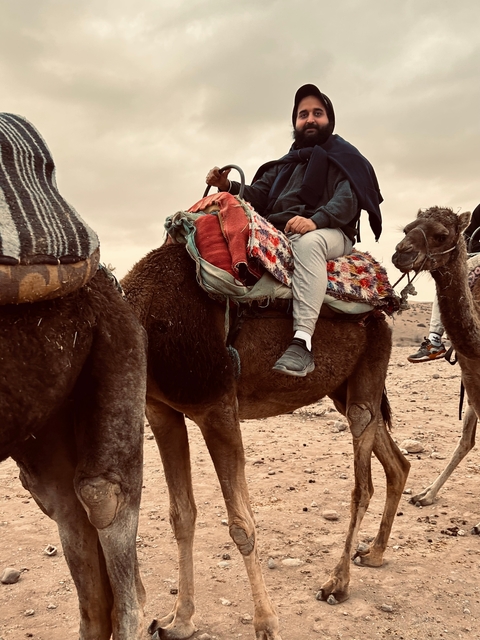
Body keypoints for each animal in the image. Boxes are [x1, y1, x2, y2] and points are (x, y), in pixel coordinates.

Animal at [122, 242, 410, 640]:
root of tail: (383, 309)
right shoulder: (160, 410)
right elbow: (181, 515)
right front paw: (178, 621)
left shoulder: (217, 408)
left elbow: (241, 525)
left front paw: (266, 622)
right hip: (343, 387)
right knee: (397, 463)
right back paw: (375, 553)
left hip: (371, 364)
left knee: (362, 480)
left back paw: (337, 582)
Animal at [392, 206, 480, 530]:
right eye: (407, 228)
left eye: (441, 235)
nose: (401, 252)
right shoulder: (471, 374)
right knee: (466, 440)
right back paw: (426, 494)